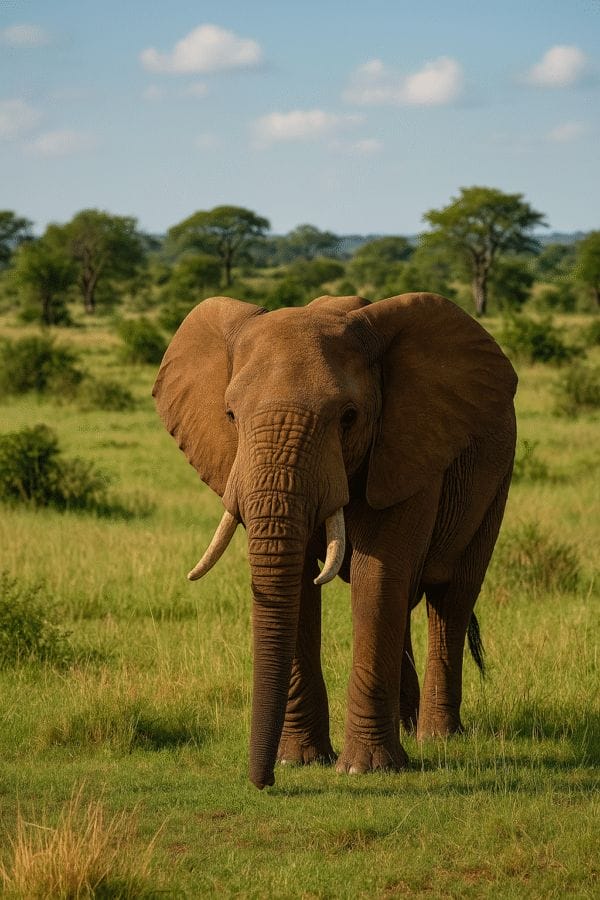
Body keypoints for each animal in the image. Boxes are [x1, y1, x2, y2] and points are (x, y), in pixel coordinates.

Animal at [153, 292, 517, 790]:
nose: (262, 783)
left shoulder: (406, 446)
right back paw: (408, 727)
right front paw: (300, 761)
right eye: (230, 415)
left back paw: (436, 737)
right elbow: (301, 585)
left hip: (496, 479)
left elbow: (377, 575)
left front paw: (365, 769)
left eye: (348, 418)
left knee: (452, 599)